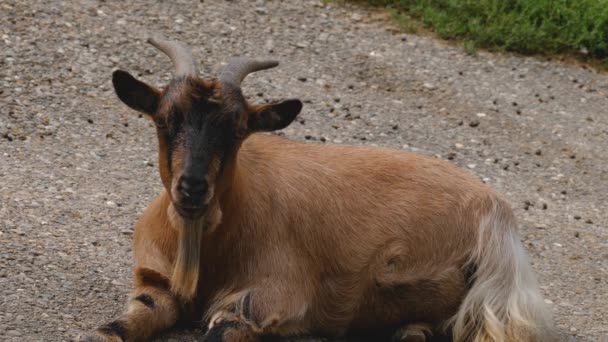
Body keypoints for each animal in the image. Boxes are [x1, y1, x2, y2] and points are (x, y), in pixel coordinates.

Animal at [81, 38, 556, 342]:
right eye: (165, 120)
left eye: (237, 130)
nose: (193, 188)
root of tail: (495, 211)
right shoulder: (155, 284)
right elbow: (111, 331)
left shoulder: (270, 296)